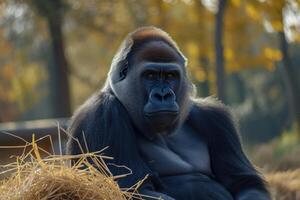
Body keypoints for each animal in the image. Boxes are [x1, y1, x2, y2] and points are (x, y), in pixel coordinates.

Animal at [67, 27, 270, 200]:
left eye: (171, 76)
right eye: (150, 75)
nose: (163, 95)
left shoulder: (214, 117)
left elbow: (246, 183)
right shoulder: (103, 113)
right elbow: (136, 189)